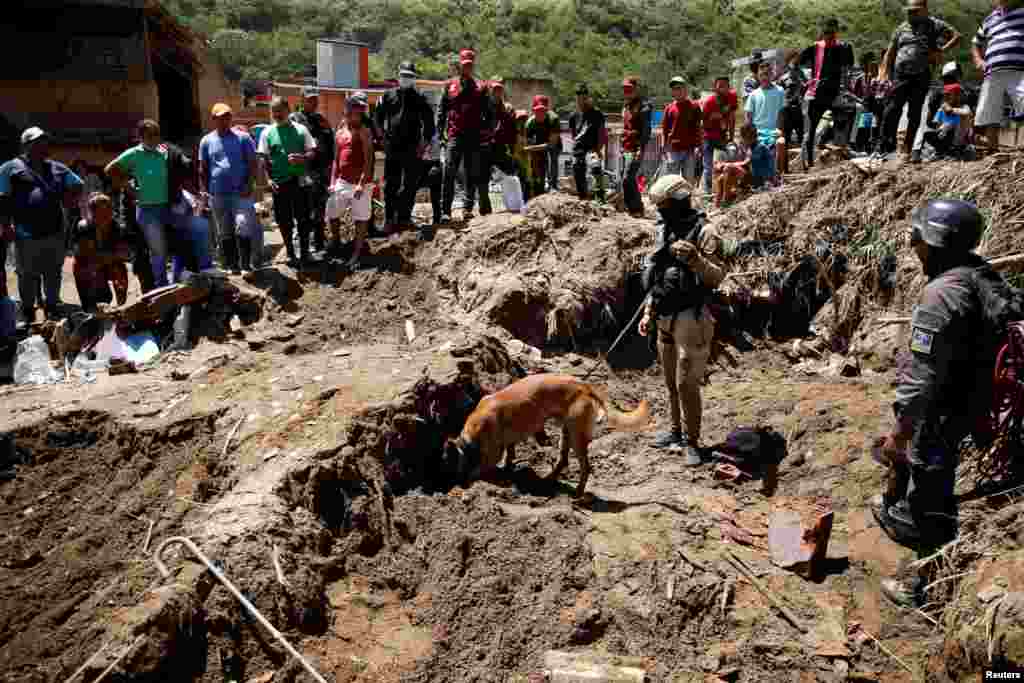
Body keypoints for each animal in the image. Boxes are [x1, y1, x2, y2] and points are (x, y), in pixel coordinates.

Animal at [446, 376, 647, 499]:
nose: (458, 482)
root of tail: (584, 386)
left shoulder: (492, 453)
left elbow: (481, 468)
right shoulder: (506, 442)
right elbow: (509, 454)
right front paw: (507, 469)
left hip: (576, 436)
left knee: (585, 467)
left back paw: (578, 494)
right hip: (566, 433)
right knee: (563, 460)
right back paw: (547, 480)